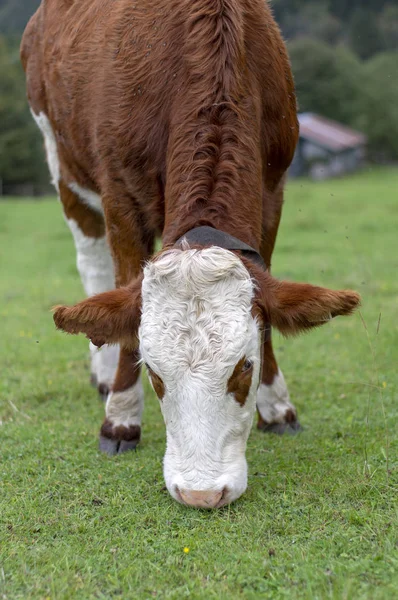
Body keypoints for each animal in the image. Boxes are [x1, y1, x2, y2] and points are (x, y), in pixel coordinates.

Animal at [20, 0, 360, 508]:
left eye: (245, 368)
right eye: (154, 372)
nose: (200, 493)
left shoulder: (272, 189)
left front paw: (277, 405)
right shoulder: (121, 196)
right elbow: (123, 302)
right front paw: (121, 415)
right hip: (62, 163)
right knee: (92, 265)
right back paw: (102, 372)